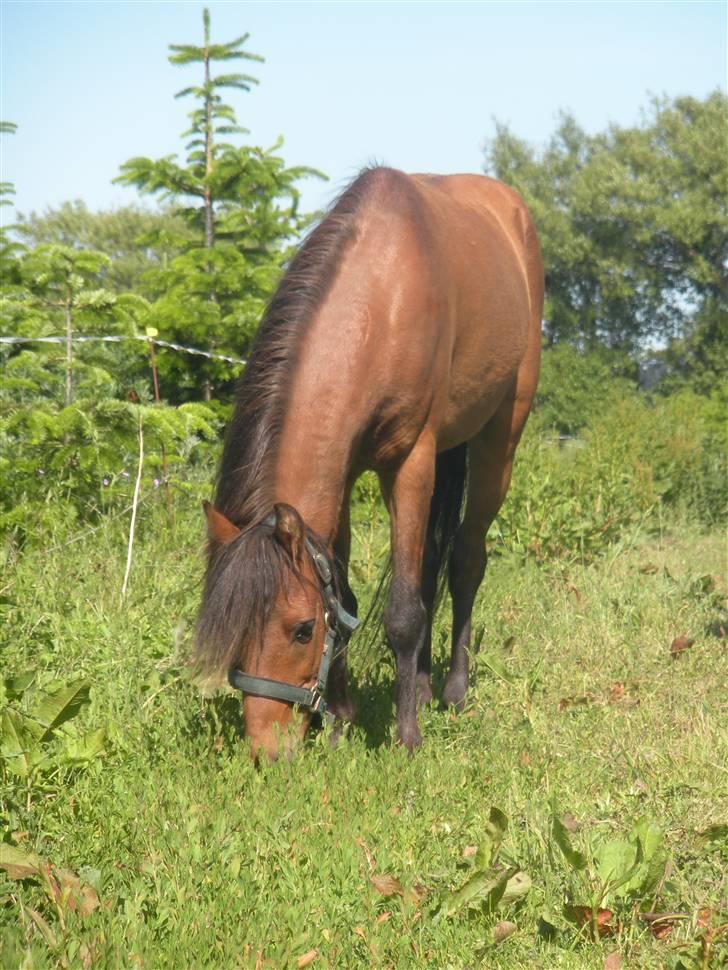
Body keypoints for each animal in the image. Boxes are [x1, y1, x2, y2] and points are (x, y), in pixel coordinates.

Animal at [196, 164, 544, 756]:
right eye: (235, 631)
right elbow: (348, 594)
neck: (382, 298)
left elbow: (402, 611)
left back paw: (452, 692)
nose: (268, 749)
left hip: (499, 440)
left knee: (465, 560)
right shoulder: (341, 476)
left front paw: (405, 739)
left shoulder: (410, 463)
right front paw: (341, 722)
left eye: (302, 629)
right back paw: (421, 687)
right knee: (428, 568)